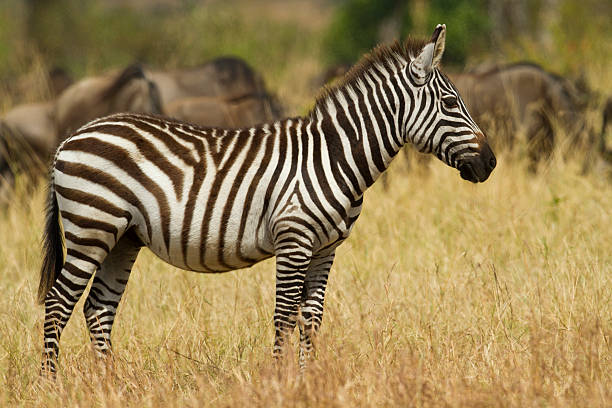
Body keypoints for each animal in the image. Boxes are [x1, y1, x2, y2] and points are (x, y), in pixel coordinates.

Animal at [38, 24, 498, 372]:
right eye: (451, 102)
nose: (490, 162)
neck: (334, 155)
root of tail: (67, 140)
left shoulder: (325, 249)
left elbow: (311, 319)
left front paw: (307, 379)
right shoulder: (294, 240)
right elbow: (283, 316)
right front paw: (280, 381)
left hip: (124, 236)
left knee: (98, 309)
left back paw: (110, 383)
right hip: (92, 227)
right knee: (58, 303)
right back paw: (52, 383)